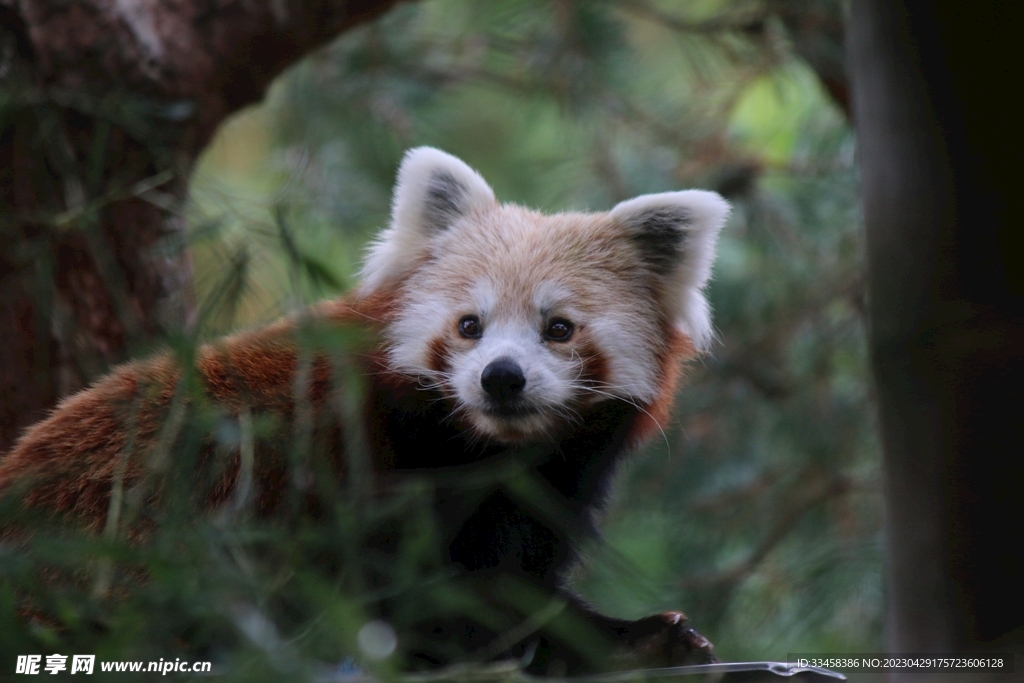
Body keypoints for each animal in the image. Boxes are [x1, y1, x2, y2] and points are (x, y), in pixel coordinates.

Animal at [0, 148, 729, 671]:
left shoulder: (541, 488)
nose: (500, 378)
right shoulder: (364, 470)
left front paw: (635, 638)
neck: (480, 445)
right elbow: (418, 595)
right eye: (469, 325)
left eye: (559, 328)